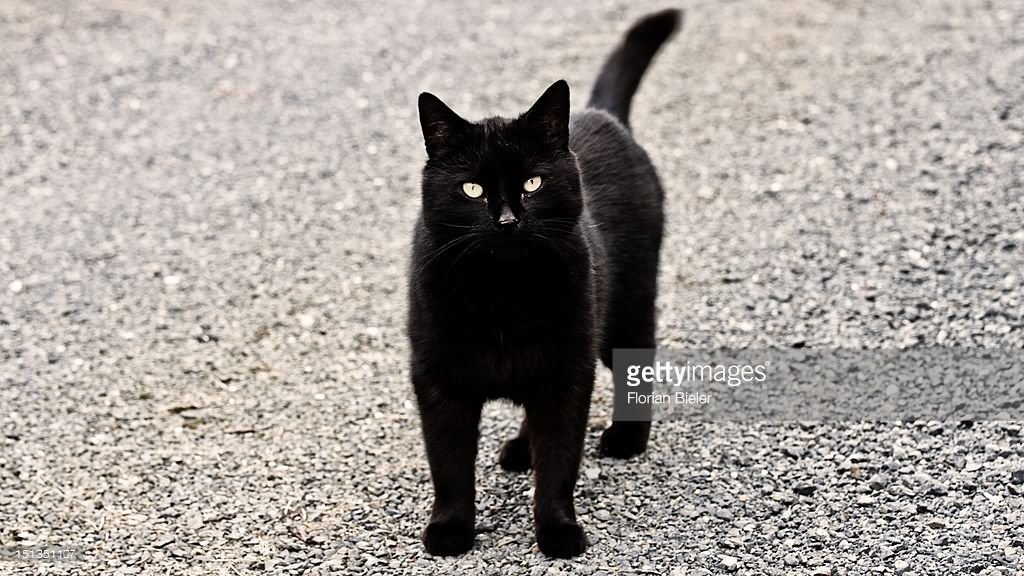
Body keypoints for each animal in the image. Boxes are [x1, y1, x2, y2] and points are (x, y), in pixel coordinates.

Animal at [407, 10, 679, 557]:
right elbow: (448, 466)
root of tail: (601, 114)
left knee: (638, 360)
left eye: (532, 182)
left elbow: (559, 462)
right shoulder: (437, 378)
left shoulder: (567, 370)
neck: (503, 292)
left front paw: (558, 531)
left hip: (626, 306)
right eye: (472, 188)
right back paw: (518, 449)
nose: (508, 220)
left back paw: (625, 439)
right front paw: (449, 529)